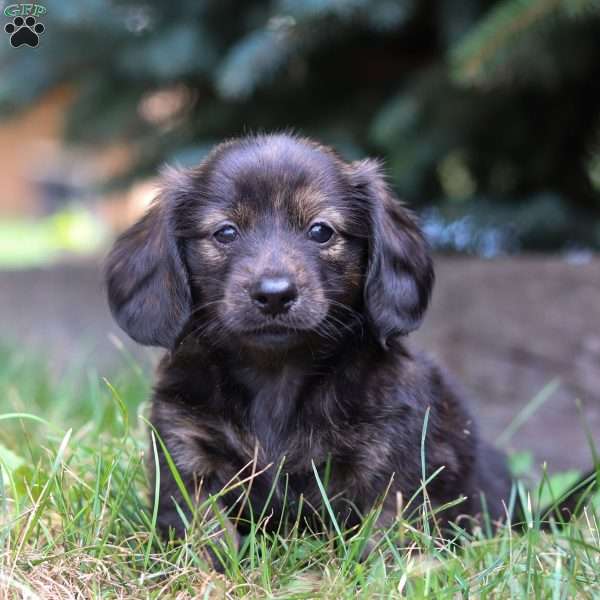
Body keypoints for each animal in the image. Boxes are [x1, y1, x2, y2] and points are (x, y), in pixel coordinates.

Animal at [105, 134, 512, 552]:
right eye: (225, 232)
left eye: (321, 231)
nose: (274, 295)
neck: (276, 378)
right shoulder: (185, 449)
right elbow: (204, 532)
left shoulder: (393, 464)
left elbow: (384, 536)